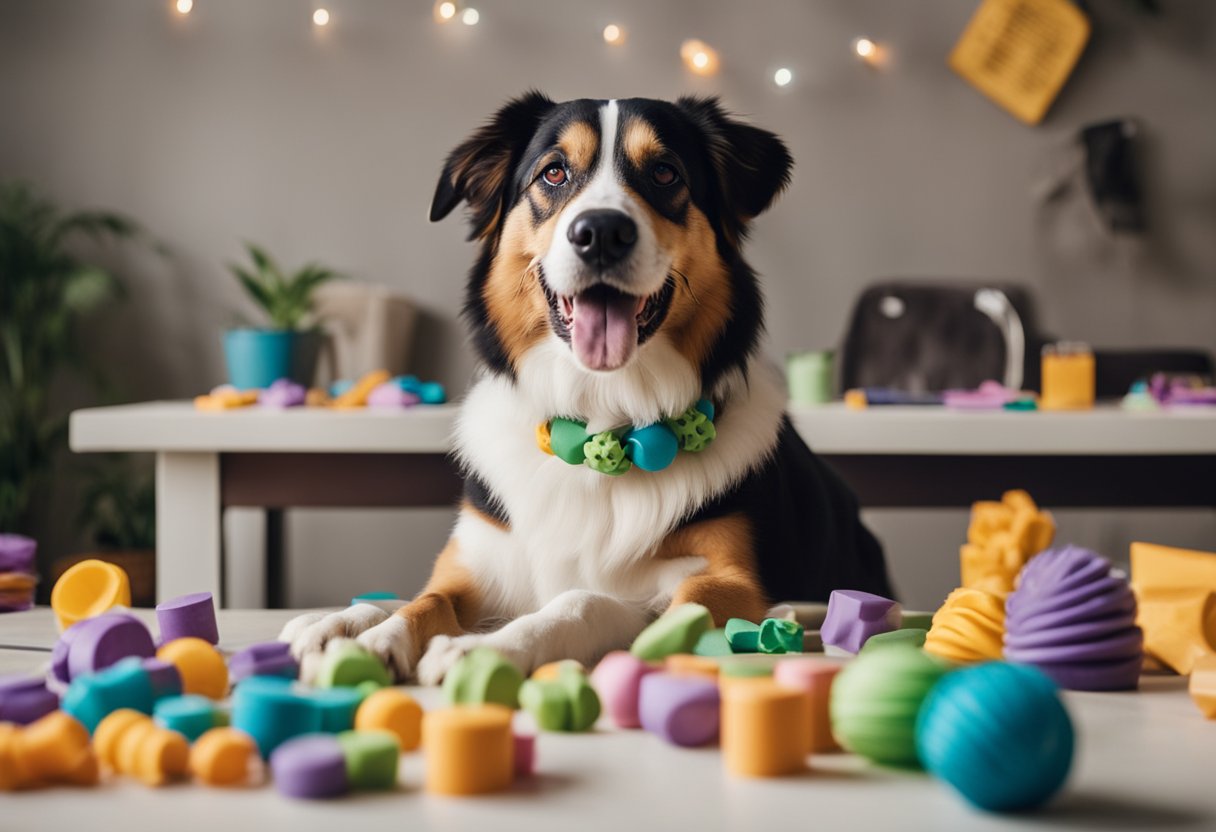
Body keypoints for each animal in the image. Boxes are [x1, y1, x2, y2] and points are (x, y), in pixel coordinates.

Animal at [282, 92, 894, 681]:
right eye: (553, 173)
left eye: (666, 173)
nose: (601, 232)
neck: (604, 414)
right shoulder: (478, 563)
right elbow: (425, 600)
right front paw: (369, 635)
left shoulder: (726, 583)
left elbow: (584, 601)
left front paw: (484, 649)